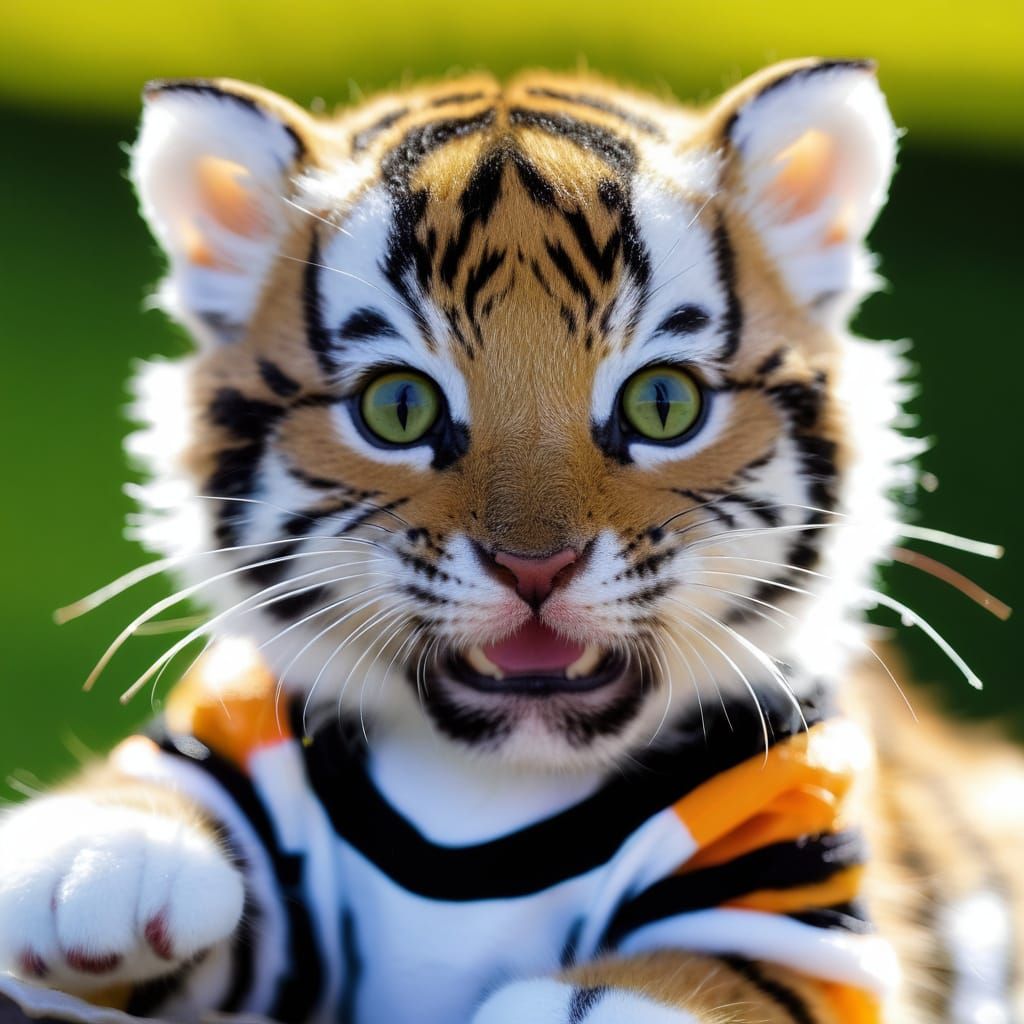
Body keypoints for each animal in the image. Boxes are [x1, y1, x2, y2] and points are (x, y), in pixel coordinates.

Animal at [0, 57, 1020, 1024]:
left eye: (663, 404)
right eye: (399, 409)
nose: (538, 567)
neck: (484, 793)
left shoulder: (791, 902)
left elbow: (699, 974)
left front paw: (580, 1003)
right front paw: (102, 854)